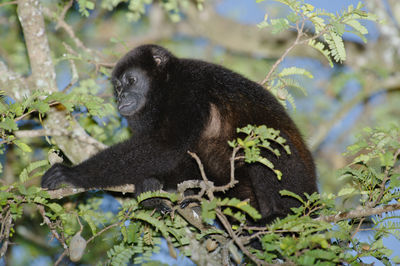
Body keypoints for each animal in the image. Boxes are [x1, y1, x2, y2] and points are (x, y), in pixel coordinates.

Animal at [42, 44, 318, 223]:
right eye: (117, 87)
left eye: (131, 81)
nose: (120, 98)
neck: (163, 90)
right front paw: (150, 187)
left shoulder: (188, 89)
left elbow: (167, 145)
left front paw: (71, 174)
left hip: (296, 183)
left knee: (263, 149)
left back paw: (275, 218)